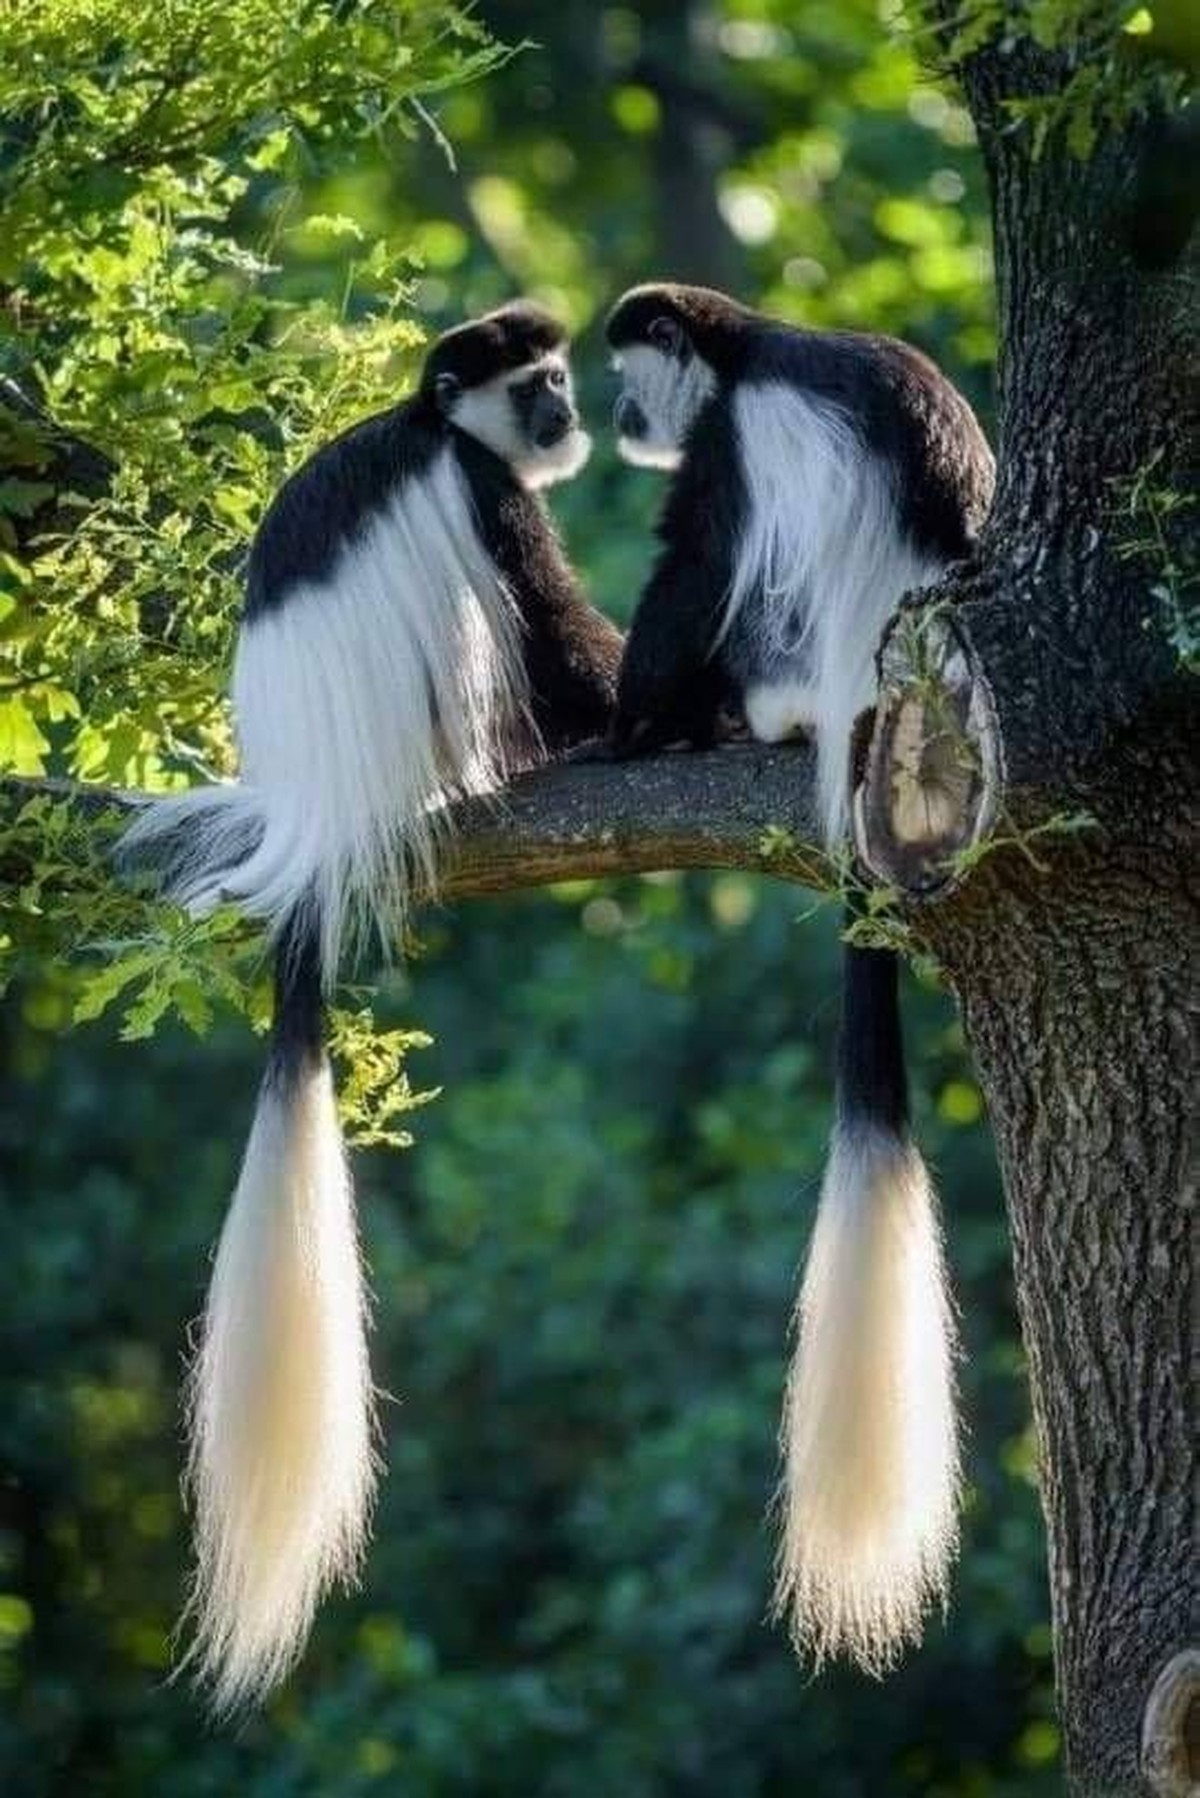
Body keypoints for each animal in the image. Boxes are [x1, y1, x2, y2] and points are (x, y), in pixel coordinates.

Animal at [119, 301, 623, 1711]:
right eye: (538, 385)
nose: (567, 415)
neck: (436, 424)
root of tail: (318, 815)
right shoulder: (487, 493)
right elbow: (554, 616)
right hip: (451, 715)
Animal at [602, 282, 995, 1676]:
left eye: (625, 375)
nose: (616, 418)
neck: (746, 345)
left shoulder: (733, 447)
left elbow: (693, 567)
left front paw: (623, 726)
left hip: (785, 665)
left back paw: (696, 723)